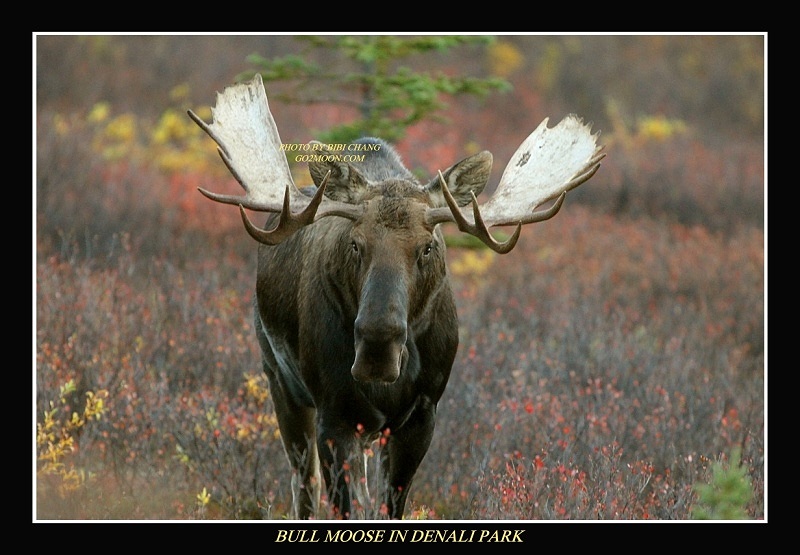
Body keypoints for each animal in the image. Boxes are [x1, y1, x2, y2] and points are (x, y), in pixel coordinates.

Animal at [186, 75, 600, 520]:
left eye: (427, 247)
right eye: (355, 244)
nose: (377, 345)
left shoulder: (422, 415)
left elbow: (390, 505)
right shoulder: (335, 414)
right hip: (281, 382)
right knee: (304, 484)